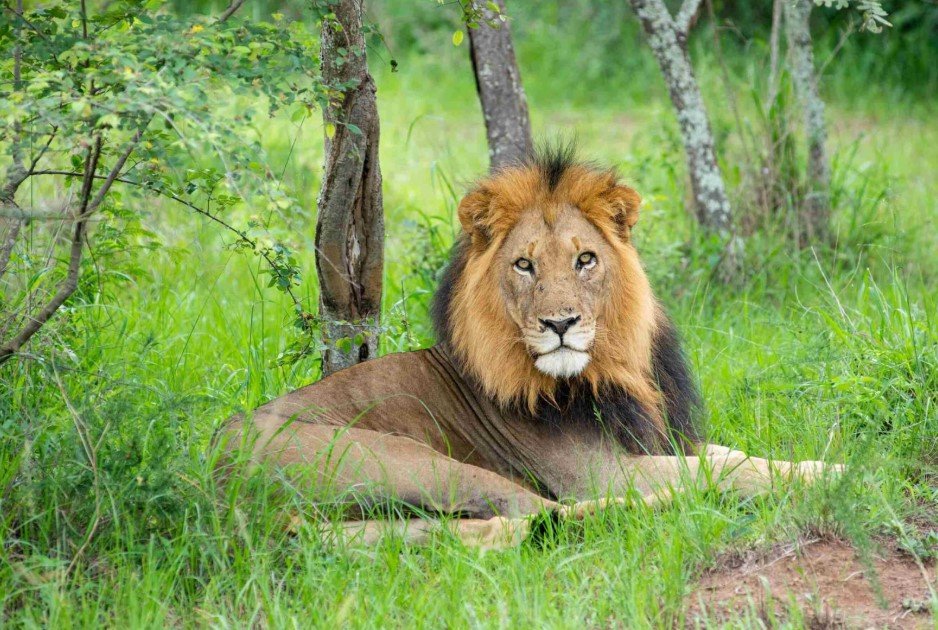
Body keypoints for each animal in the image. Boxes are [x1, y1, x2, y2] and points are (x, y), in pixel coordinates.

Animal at [222, 147, 838, 548]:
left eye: (585, 259)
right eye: (524, 264)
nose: (560, 322)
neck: (610, 371)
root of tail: (212, 476)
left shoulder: (662, 441)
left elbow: (734, 457)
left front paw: (816, 463)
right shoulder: (600, 470)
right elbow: (728, 472)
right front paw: (832, 474)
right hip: (410, 461)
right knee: (550, 509)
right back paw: (675, 508)